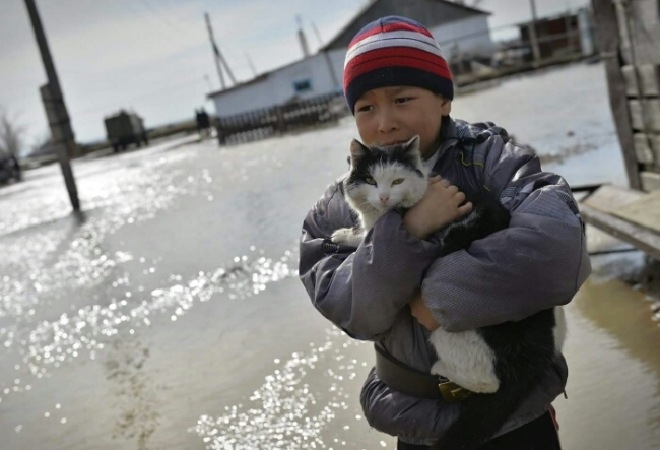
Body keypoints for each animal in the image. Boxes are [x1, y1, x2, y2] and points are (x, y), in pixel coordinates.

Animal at [332, 135, 564, 448]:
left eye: (397, 181)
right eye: (370, 180)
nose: (383, 197)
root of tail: (536, 354)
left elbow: (368, 240)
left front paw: (352, 237)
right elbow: (365, 233)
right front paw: (345, 234)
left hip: (449, 332)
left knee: (488, 383)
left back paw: (440, 370)